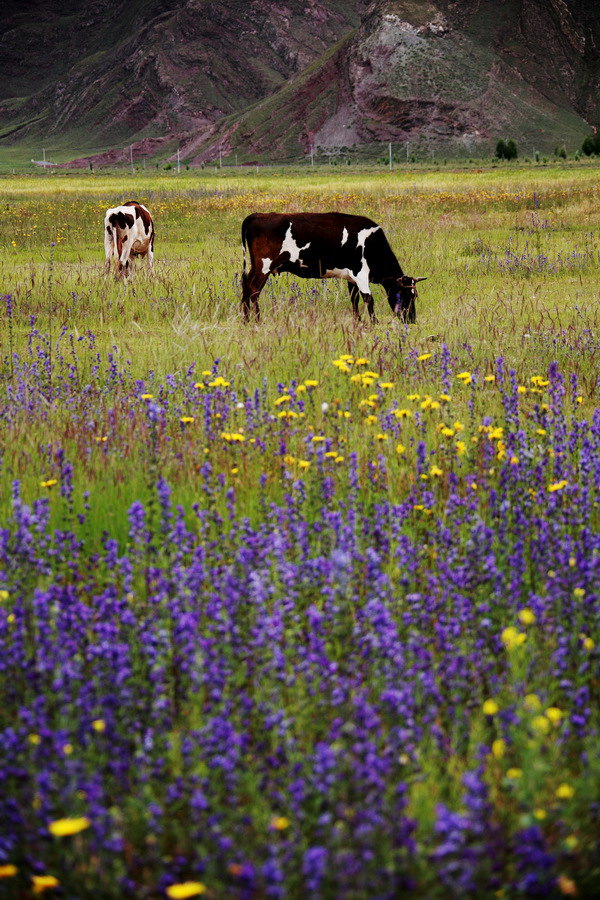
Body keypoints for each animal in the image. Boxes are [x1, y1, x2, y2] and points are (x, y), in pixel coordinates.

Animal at [241, 211, 424, 324]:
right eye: (405, 294)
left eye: (414, 296)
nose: (411, 320)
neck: (372, 245)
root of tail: (257, 215)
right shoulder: (360, 273)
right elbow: (368, 299)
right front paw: (374, 323)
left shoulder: (351, 277)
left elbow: (354, 299)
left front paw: (357, 322)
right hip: (264, 266)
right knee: (254, 289)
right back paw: (257, 320)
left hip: (255, 266)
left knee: (245, 286)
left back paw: (246, 320)